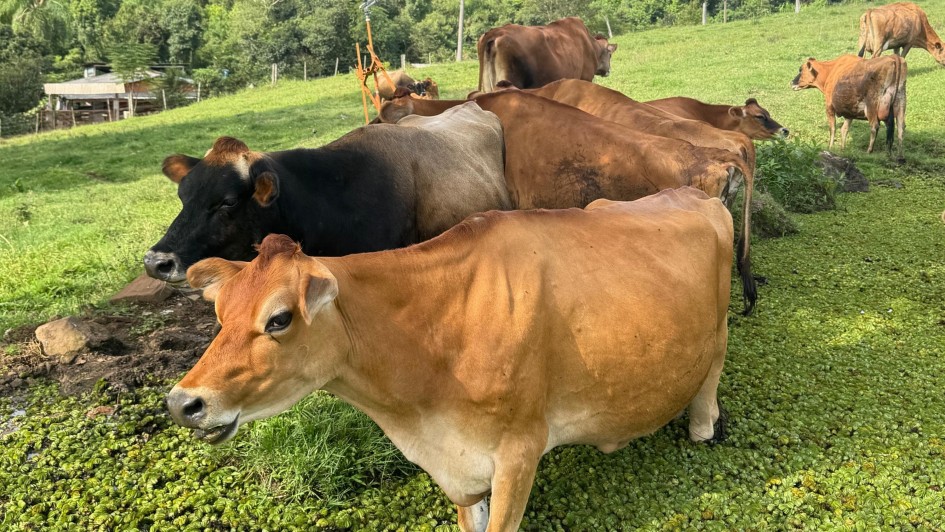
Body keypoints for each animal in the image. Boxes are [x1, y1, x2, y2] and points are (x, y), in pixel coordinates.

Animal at [167, 187, 732, 531]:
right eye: (219, 313)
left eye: (279, 319)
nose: (182, 403)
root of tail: (695, 194)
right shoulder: (457, 467)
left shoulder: (520, 450)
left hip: (720, 329)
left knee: (711, 375)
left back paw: (704, 426)